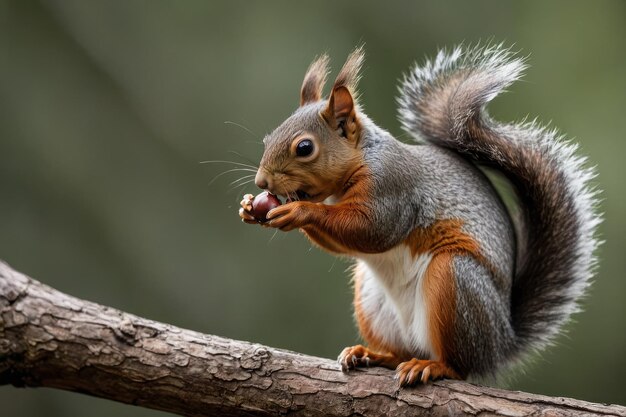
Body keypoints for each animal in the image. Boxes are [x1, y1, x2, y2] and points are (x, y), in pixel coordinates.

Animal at [236, 43, 596, 384]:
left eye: (305, 148)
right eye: (268, 138)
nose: (262, 182)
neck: (362, 159)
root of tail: (500, 344)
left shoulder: (393, 190)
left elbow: (372, 230)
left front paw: (299, 211)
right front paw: (248, 208)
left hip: (455, 281)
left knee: (459, 365)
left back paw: (433, 366)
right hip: (372, 301)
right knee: (401, 351)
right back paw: (371, 354)